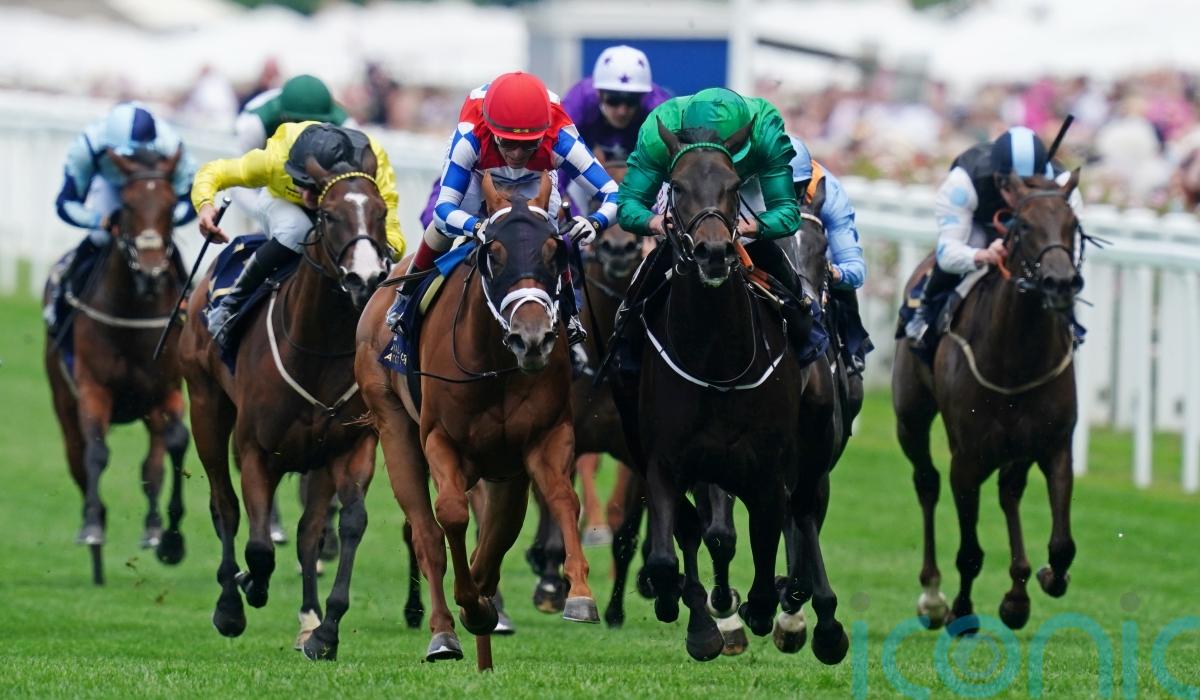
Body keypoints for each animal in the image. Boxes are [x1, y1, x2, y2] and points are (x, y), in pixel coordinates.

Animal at [44, 147, 190, 585]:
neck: (133, 311)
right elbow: (96, 453)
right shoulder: (94, 389)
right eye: (126, 205)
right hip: (64, 402)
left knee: (153, 462)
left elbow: (174, 445)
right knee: (78, 456)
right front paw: (93, 527)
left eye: (170, 204)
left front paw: (170, 539)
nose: (152, 272)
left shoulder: (166, 389)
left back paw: (154, 529)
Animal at [178, 153, 391, 660]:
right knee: (225, 505)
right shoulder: (257, 450)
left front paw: (325, 631)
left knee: (309, 530)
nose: (366, 278)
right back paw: (230, 601)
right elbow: (257, 545)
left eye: (380, 213)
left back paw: (308, 620)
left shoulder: (351, 446)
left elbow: (348, 524)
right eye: (330, 215)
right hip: (206, 408)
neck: (319, 348)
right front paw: (245, 591)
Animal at [356, 171, 599, 663]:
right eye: (495, 253)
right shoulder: (441, 439)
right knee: (426, 533)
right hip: (394, 425)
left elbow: (560, 501)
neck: (495, 363)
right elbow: (450, 515)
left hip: (503, 468)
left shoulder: (543, 438)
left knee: (499, 527)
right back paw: (443, 632)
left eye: (555, 250)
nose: (532, 338)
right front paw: (470, 604)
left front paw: (578, 594)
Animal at [633, 119, 848, 663]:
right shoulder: (667, 461)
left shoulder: (768, 471)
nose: (713, 252)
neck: (717, 359)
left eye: (733, 187)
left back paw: (813, 619)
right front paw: (700, 622)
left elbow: (769, 546)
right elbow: (680, 549)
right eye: (677, 187)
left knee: (804, 512)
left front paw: (768, 608)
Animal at [892, 170, 1083, 635]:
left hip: (1017, 448)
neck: (1017, 358)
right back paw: (933, 596)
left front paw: (1047, 577)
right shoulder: (967, 459)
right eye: (1023, 226)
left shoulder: (1055, 446)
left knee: (1009, 491)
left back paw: (1017, 593)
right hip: (910, 420)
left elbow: (1062, 542)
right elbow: (970, 551)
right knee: (927, 483)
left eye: (1072, 225)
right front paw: (961, 610)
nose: (1060, 283)